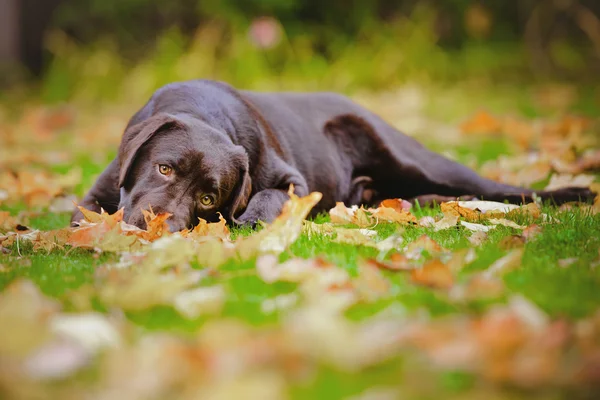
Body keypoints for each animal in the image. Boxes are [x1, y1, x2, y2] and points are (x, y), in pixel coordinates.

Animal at [70, 79, 592, 230]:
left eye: (207, 198)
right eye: (163, 168)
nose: (160, 227)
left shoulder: (292, 181)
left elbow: (268, 196)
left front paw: (249, 221)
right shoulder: (99, 192)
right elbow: (82, 216)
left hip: (417, 160)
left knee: (501, 188)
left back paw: (576, 192)